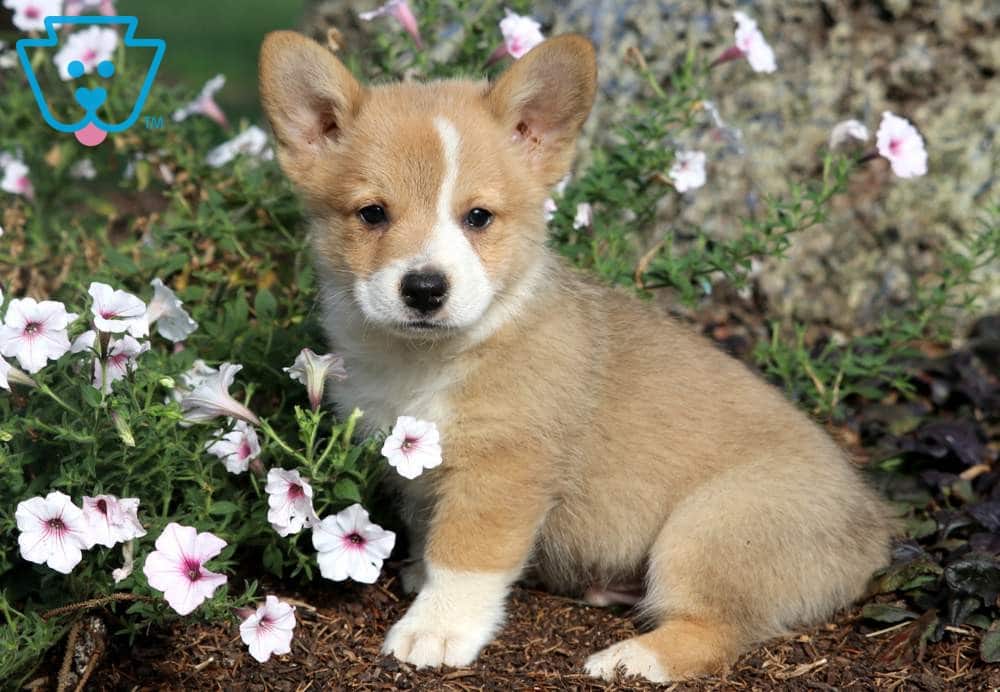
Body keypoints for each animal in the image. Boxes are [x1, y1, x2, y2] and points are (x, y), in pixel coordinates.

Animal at [258, 31, 892, 680]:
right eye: (372, 213)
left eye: (478, 217)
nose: (425, 289)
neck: (429, 357)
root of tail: (874, 531)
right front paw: (419, 575)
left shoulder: (503, 469)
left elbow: (465, 559)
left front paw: (436, 629)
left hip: (710, 528)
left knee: (713, 631)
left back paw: (630, 659)